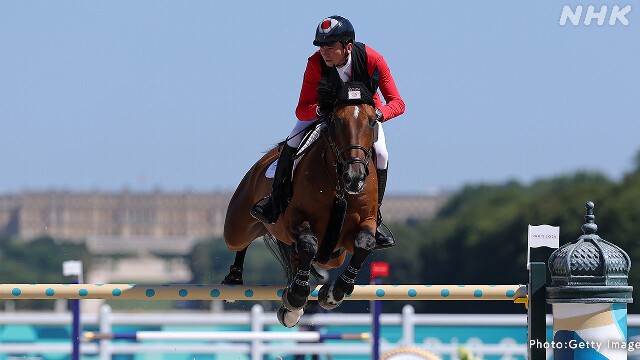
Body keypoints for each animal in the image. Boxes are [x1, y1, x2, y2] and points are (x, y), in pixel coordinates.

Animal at [222, 80, 380, 328]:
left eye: (373, 121)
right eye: (336, 121)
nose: (354, 178)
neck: (338, 184)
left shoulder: (363, 223)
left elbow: (365, 244)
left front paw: (332, 294)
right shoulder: (294, 220)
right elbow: (307, 243)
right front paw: (296, 296)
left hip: (333, 257)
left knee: (309, 259)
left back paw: (291, 308)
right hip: (237, 228)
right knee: (241, 243)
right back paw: (235, 280)